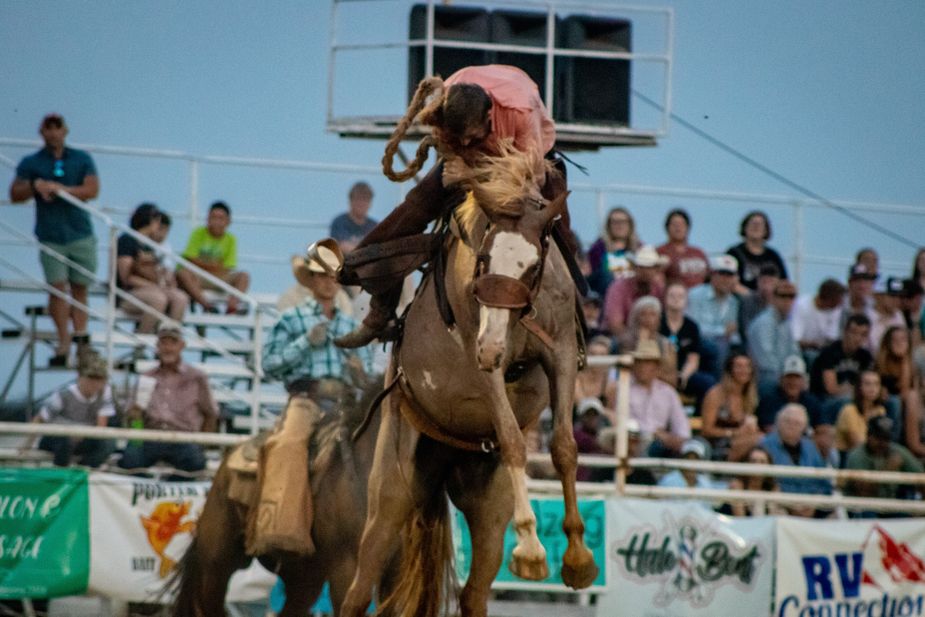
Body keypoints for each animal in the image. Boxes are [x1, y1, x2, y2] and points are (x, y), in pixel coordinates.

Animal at [342, 150, 596, 616]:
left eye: (533, 265)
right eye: (482, 260)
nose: (492, 346)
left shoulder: (564, 355)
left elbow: (564, 448)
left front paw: (577, 560)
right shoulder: (483, 362)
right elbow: (513, 440)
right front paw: (532, 550)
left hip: (489, 512)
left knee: (474, 593)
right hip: (389, 497)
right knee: (357, 591)